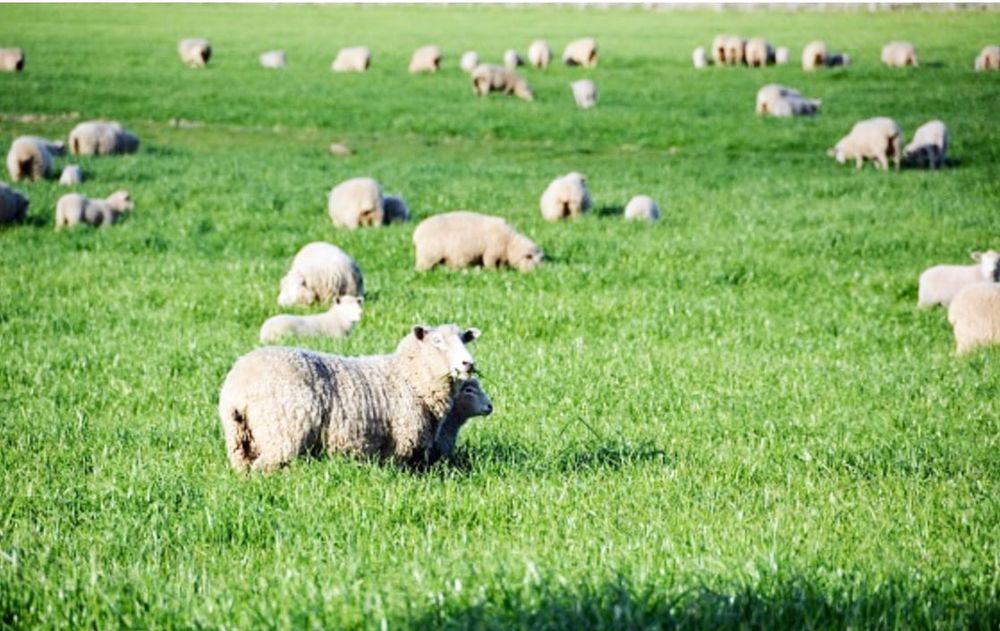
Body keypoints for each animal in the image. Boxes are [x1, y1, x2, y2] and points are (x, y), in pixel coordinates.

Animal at [218, 323, 481, 471]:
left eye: (464, 339)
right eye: (437, 341)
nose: (468, 363)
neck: (409, 376)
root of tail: (239, 385)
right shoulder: (400, 445)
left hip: (239, 439)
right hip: (281, 433)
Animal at [413, 211, 543, 272]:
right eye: (533, 261)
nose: (540, 274)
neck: (510, 242)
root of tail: (417, 232)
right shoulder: (492, 252)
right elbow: (490, 263)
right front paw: (493, 272)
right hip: (428, 255)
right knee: (421, 268)